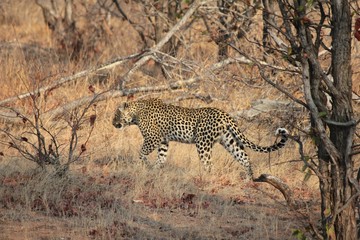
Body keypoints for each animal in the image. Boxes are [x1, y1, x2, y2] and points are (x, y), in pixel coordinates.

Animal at [111, 98, 288, 180]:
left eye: (116, 115)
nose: (113, 123)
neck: (135, 113)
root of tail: (225, 115)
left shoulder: (153, 138)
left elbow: (141, 152)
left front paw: (145, 165)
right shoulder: (163, 141)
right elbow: (161, 157)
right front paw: (155, 169)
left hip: (203, 143)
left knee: (209, 164)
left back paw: (205, 178)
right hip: (230, 141)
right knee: (244, 158)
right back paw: (249, 180)